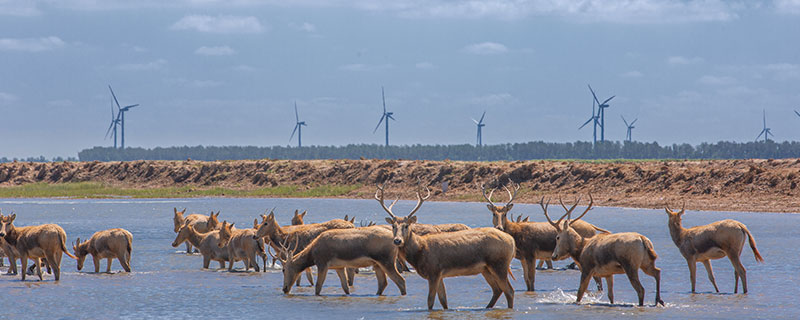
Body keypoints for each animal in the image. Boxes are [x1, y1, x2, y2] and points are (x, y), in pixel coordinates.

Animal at [276, 225, 410, 298]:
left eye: (283, 269)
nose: (284, 288)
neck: (312, 252)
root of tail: (396, 240)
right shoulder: (339, 267)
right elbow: (346, 288)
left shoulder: (322, 264)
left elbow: (318, 286)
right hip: (377, 264)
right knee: (383, 283)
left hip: (387, 261)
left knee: (401, 280)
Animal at [378, 182, 516, 310]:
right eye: (393, 226)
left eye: (406, 226)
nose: (397, 241)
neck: (419, 252)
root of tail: (511, 241)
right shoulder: (439, 275)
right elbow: (443, 301)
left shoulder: (433, 271)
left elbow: (430, 301)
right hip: (486, 269)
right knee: (498, 290)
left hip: (499, 264)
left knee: (509, 290)